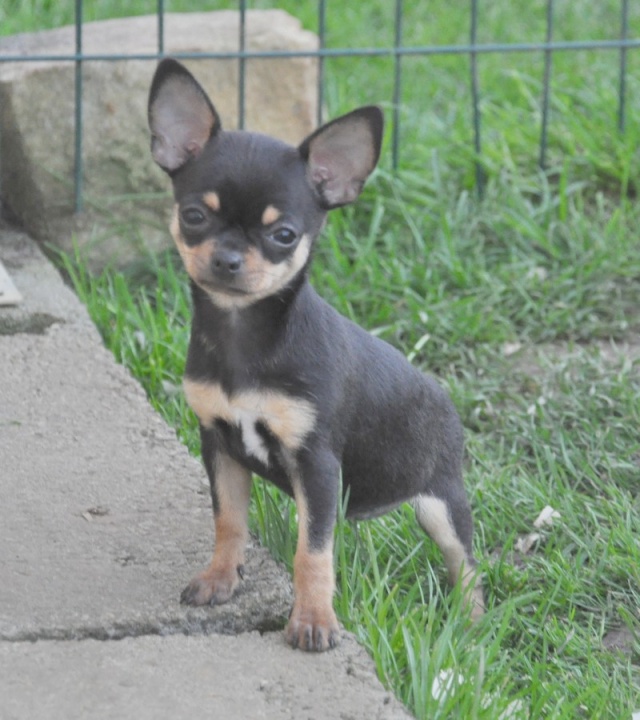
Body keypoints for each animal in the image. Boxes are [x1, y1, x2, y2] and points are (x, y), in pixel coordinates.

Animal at [148, 59, 482, 648]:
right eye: (193, 216)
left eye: (284, 234)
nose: (228, 259)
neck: (244, 334)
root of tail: (443, 396)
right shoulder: (219, 444)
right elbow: (229, 520)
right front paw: (220, 578)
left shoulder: (318, 464)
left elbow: (314, 550)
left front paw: (313, 620)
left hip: (442, 498)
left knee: (466, 562)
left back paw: (472, 622)